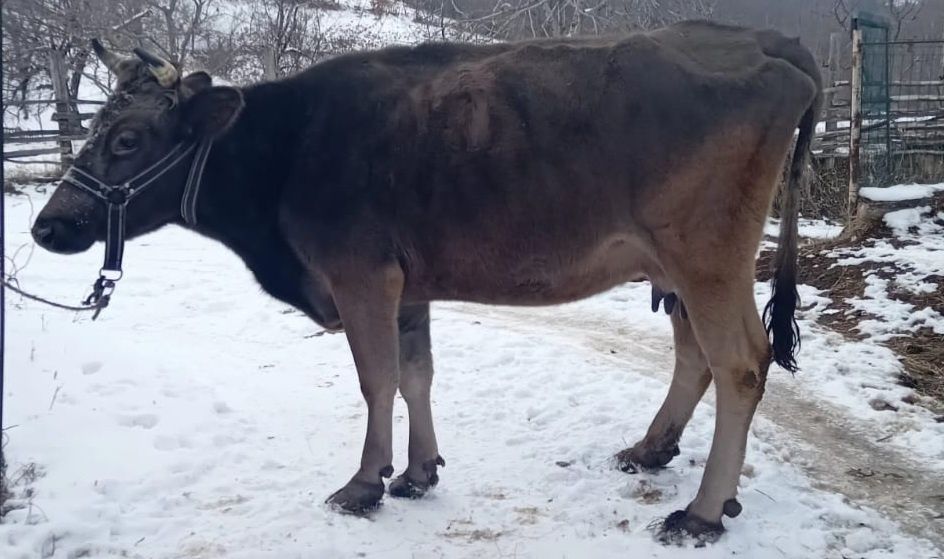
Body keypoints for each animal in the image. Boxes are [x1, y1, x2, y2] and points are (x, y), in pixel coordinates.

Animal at [31, 21, 821, 542]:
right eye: (96, 129)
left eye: (127, 139)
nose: (47, 226)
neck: (286, 150)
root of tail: (761, 41)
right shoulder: (407, 287)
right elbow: (417, 374)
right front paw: (417, 471)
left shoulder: (361, 276)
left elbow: (376, 378)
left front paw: (364, 482)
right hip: (675, 267)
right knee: (696, 356)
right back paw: (650, 449)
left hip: (707, 256)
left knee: (740, 363)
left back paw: (704, 510)